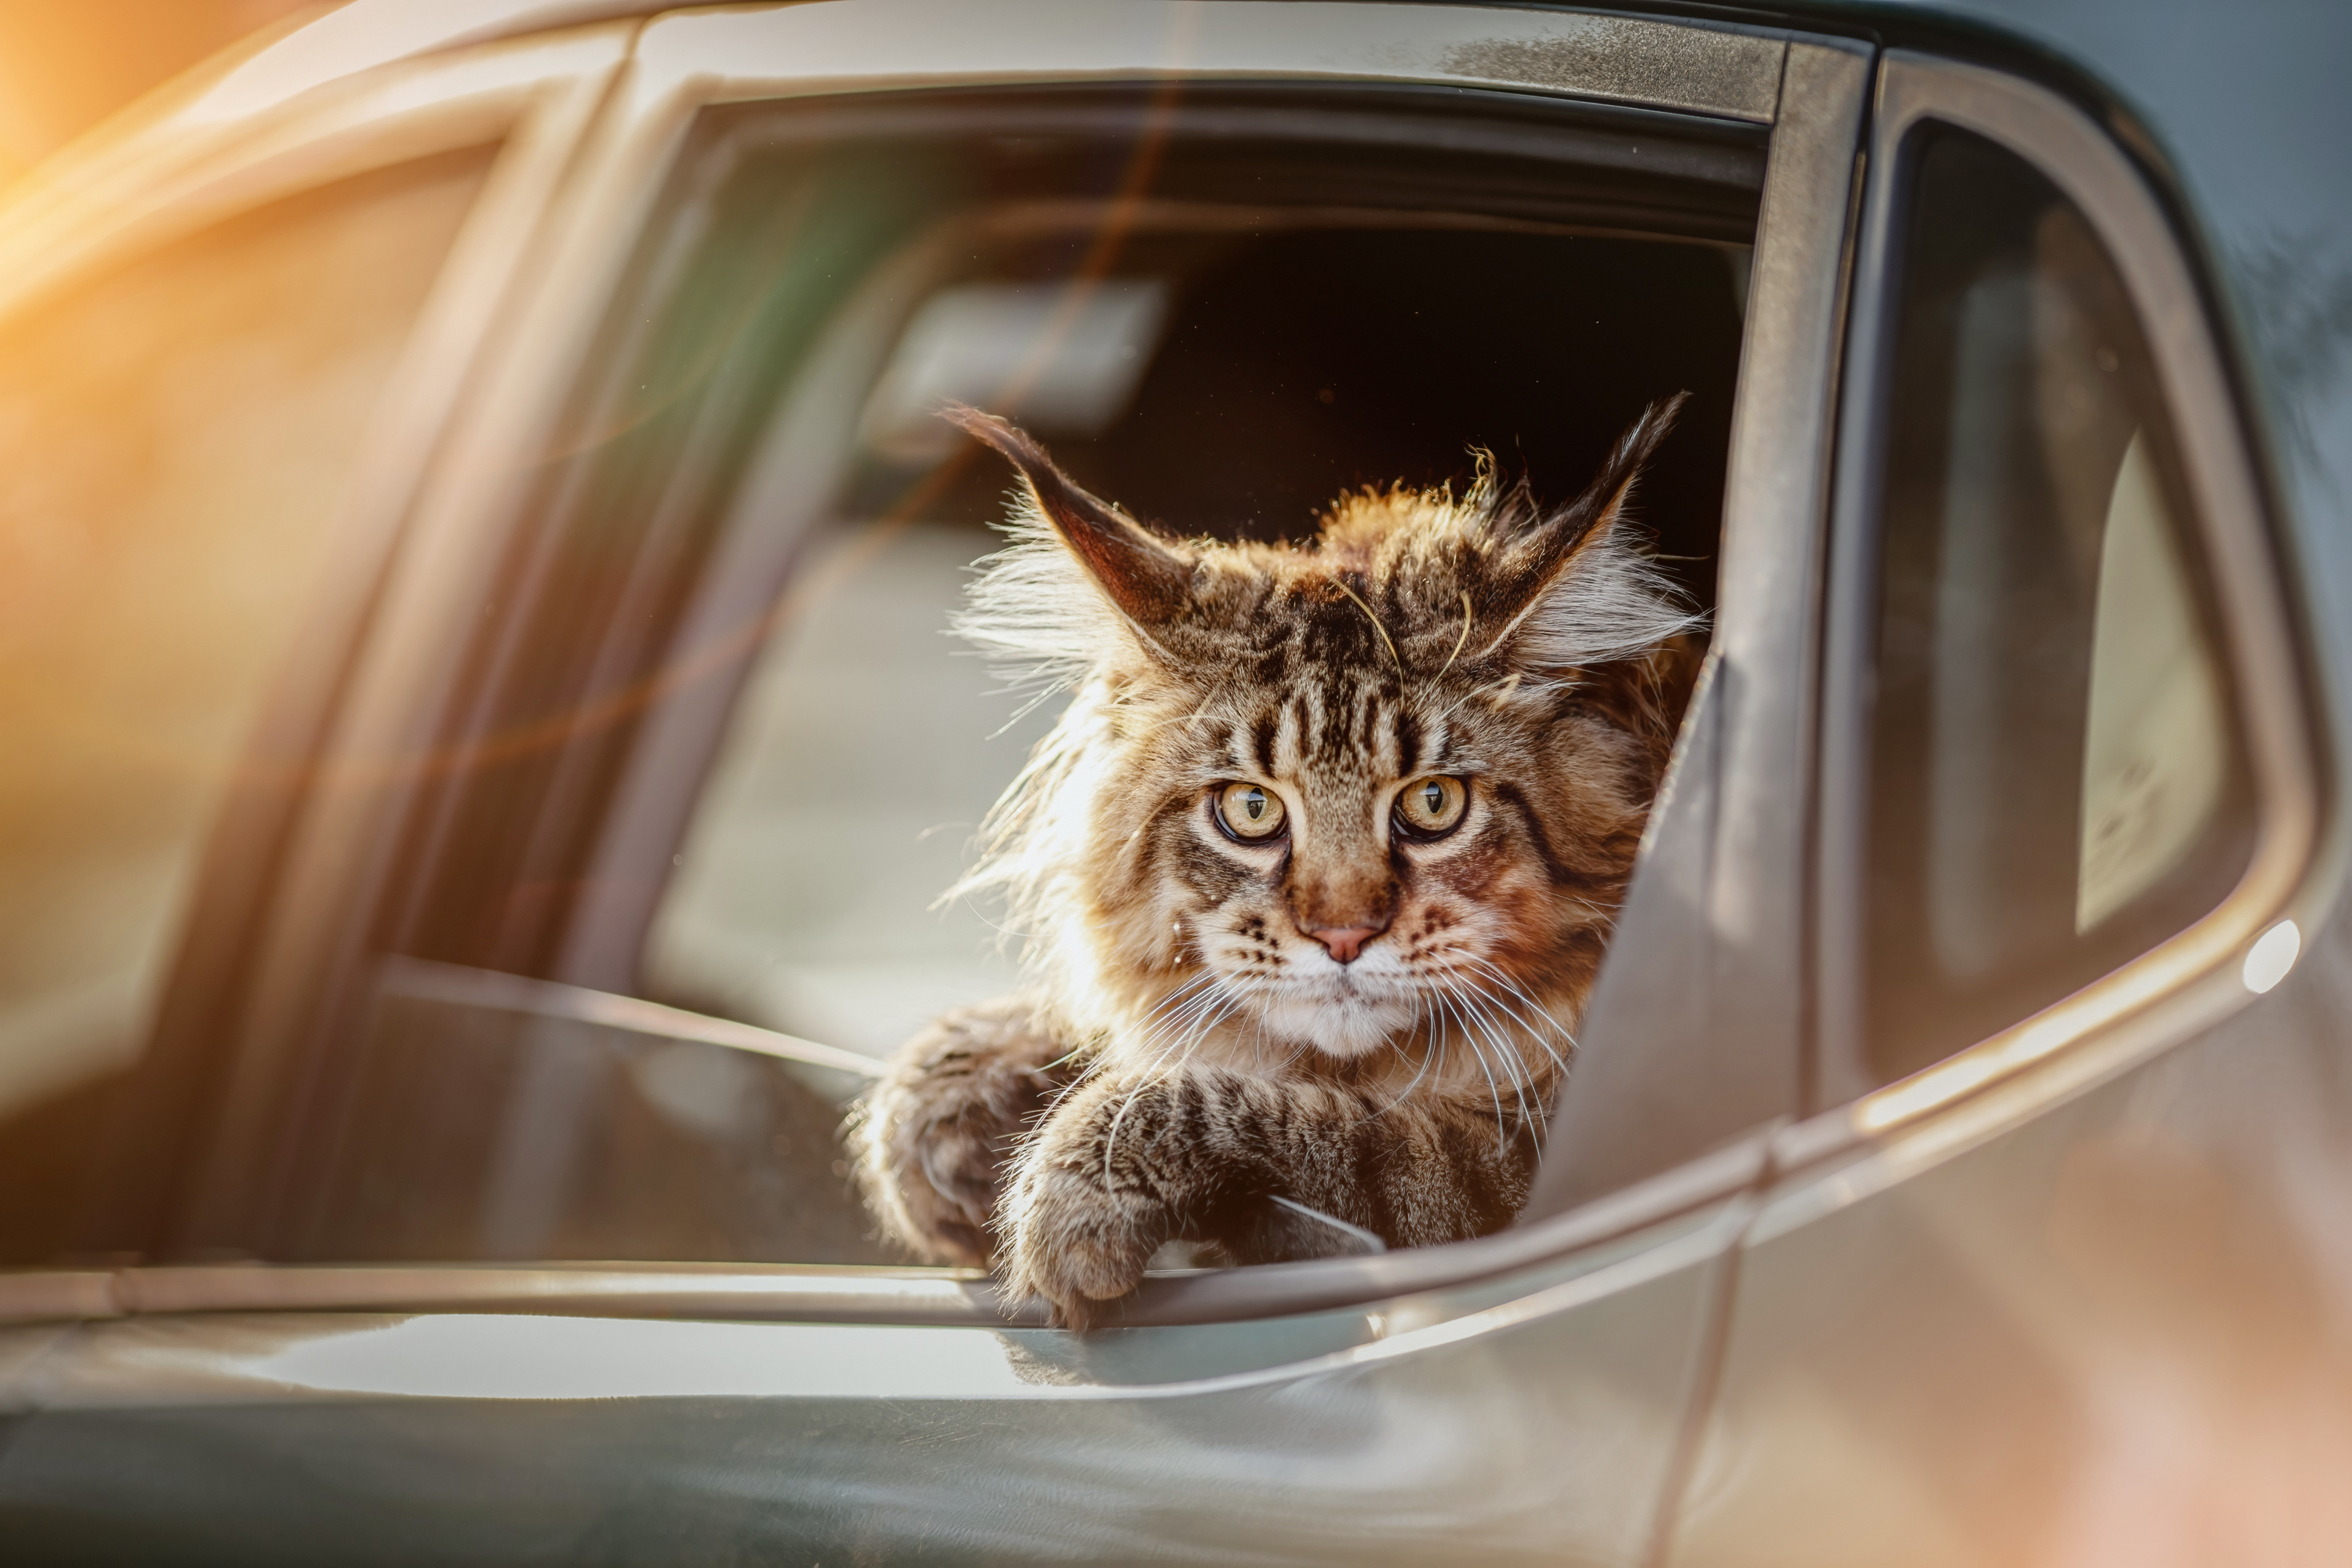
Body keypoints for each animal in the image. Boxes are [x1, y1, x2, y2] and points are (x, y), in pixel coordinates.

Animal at [856, 399, 1703, 1335]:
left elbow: (1310, 1124)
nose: (1342, 935)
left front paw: (1066, 1188)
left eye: (1434, 802)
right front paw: (946, 1113)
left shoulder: (1516, 1167)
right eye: (1251, 810)